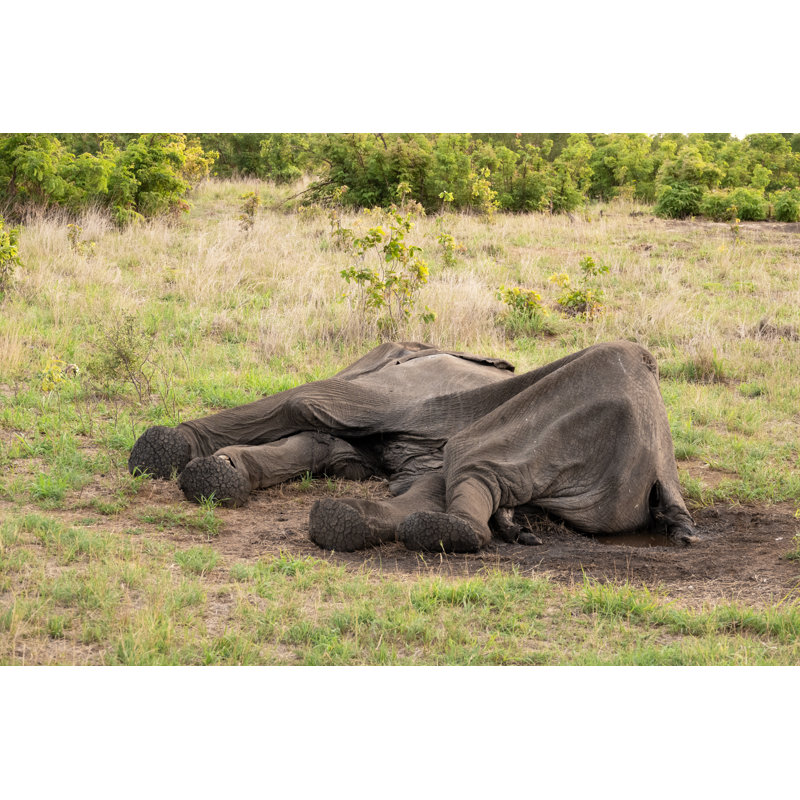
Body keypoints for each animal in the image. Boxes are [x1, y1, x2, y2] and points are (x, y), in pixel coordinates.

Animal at [128, 340, 697, 553]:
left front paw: (176, 453)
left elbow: (306, 406)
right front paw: (214, 470)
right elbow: (327, 444)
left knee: (468, 470)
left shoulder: (396, 391)